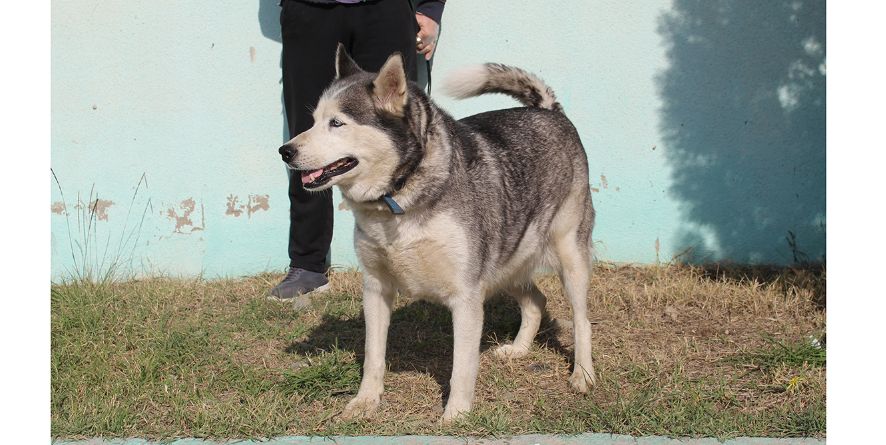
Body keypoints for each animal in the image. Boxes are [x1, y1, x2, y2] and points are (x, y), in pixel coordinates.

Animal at [278, 44, 596, 420]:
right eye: (313, 121)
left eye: (337, 123)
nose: (285, 151)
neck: (397, 200)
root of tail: (547, 110)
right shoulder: (375, 288)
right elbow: (373, 356)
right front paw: (365, 401)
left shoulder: (467, 295)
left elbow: (462, 366)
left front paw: (456, 414)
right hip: (506, 258)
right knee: (536, 300)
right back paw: (518, 349)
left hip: (568, 257)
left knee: (581, 320)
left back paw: (583, 375)